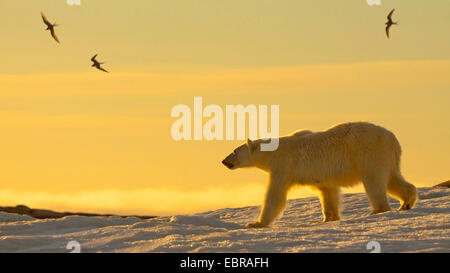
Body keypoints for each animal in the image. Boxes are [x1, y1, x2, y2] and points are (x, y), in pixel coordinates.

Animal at [222, 121, 418, 227]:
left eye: (234, 151)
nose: (224, 161)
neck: (272, 152)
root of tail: (393, 139)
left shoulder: (284, 165)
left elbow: (275, 194)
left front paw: (256, 223)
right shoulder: (322, 176)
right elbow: (328, 192)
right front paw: (329, 218)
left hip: (368, 152)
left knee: (374, 181)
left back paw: (378, 210)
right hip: (386, 157)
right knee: (393, 179)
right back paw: (406, 203)